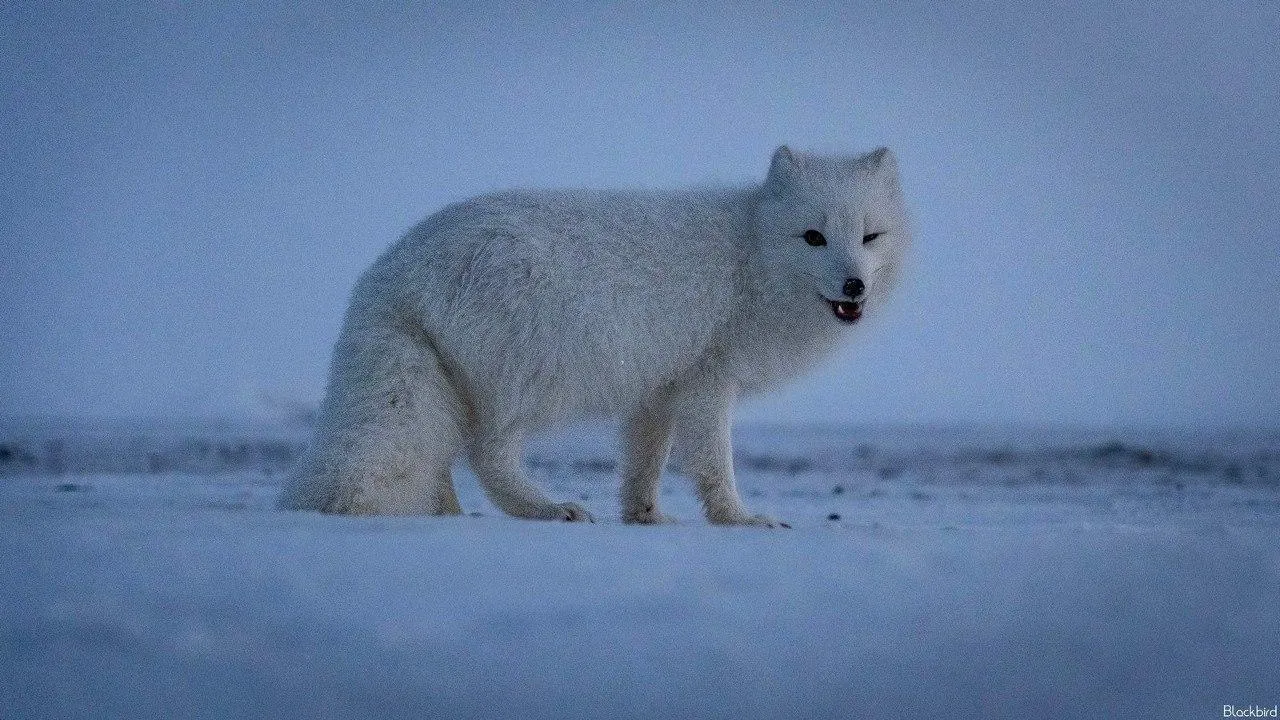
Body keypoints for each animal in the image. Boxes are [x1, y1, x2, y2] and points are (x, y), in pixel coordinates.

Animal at [280, 146, 911, 525]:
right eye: (813, 237)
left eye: (869, 236)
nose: (855, 285)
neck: (749, 258)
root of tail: (393, 269)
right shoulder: (710, 382)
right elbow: (714, 465)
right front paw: (740, 519)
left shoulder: (660, 389)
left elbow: (643, 464)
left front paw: (645, 518)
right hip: (536, 375)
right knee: (484, 453)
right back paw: (545, 509)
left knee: (443, 454)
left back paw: (448, 516)